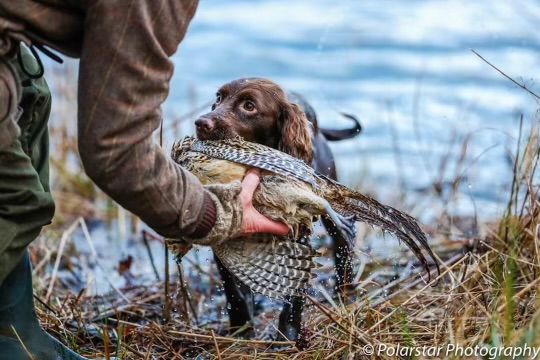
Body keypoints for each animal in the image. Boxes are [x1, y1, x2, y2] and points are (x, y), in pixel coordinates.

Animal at [196, 76, 360, 340]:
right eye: (219, 98)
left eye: (249, 106)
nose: (201, 123)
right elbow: (235, 293)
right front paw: (241, 332)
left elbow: (294, 296)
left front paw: (287, 336)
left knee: (342, 244)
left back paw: (347, 293)